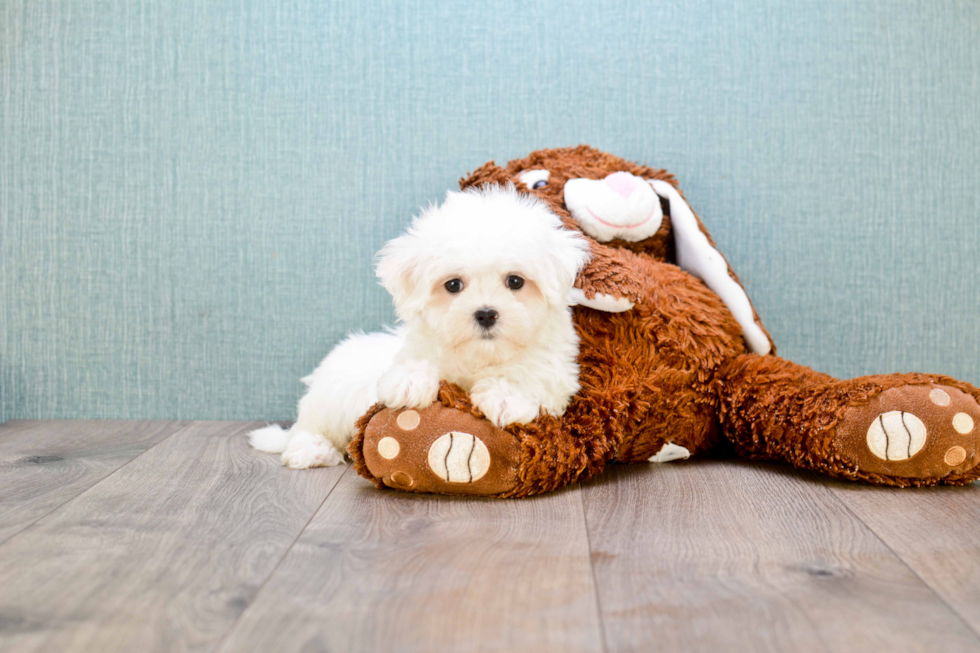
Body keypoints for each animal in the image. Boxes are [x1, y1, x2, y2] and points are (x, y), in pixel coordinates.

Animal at [251, 186, 588, 466]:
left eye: (515, 281)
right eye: (453, 285)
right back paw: (312, 450)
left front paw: (506, 397)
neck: (480, 357)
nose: (486, 314)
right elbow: (414, 363)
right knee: (308, 427)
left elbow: (532, 378)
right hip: (330, 397)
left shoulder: (558, 374)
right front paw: (409, 382)